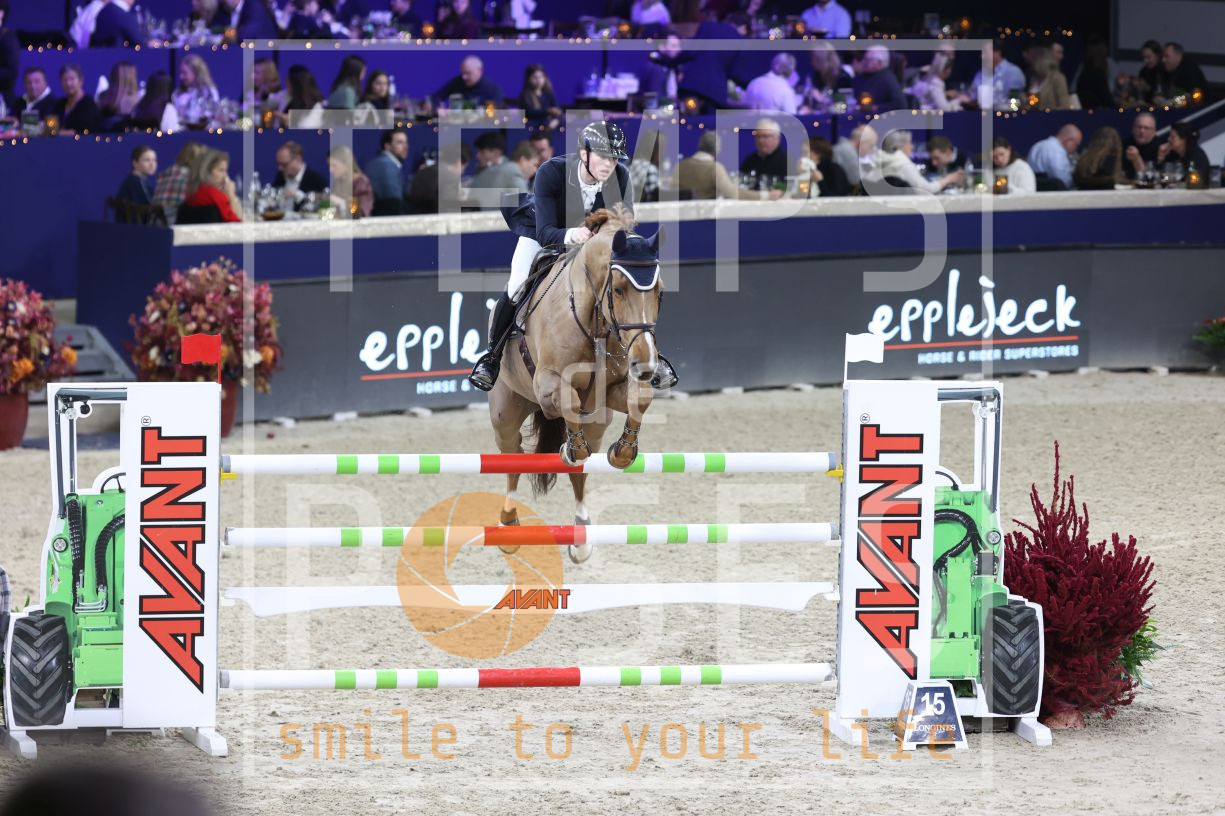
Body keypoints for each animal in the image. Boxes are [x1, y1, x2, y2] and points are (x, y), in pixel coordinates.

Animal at [488, 206, 664, 563]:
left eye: (659, 292)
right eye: (618, 289)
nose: (646, 363)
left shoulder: (609, 393)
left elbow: (640, 399)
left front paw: (623, 452)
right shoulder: (548, 385)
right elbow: (568, 404)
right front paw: (570, 448)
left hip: (596, 422)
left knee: (580, 470)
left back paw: (581, 536)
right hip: (506, 412)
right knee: (513, 457)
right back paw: (509, 525)